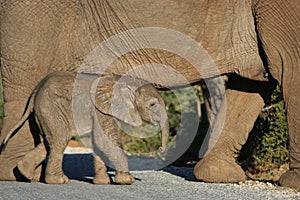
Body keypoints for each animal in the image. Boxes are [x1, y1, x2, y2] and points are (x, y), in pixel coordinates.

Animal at [1, 71, 169, 185]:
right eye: (152, 104)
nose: (160, 149)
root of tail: (35, 92)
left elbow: (98, 142)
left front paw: (103, 183)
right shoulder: (101, 109)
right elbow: (105, 141)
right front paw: (127, 180)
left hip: (43, 113)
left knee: (47, 143)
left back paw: (25, 174)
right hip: (50, 108)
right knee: (59, 141)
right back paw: (59, 180)